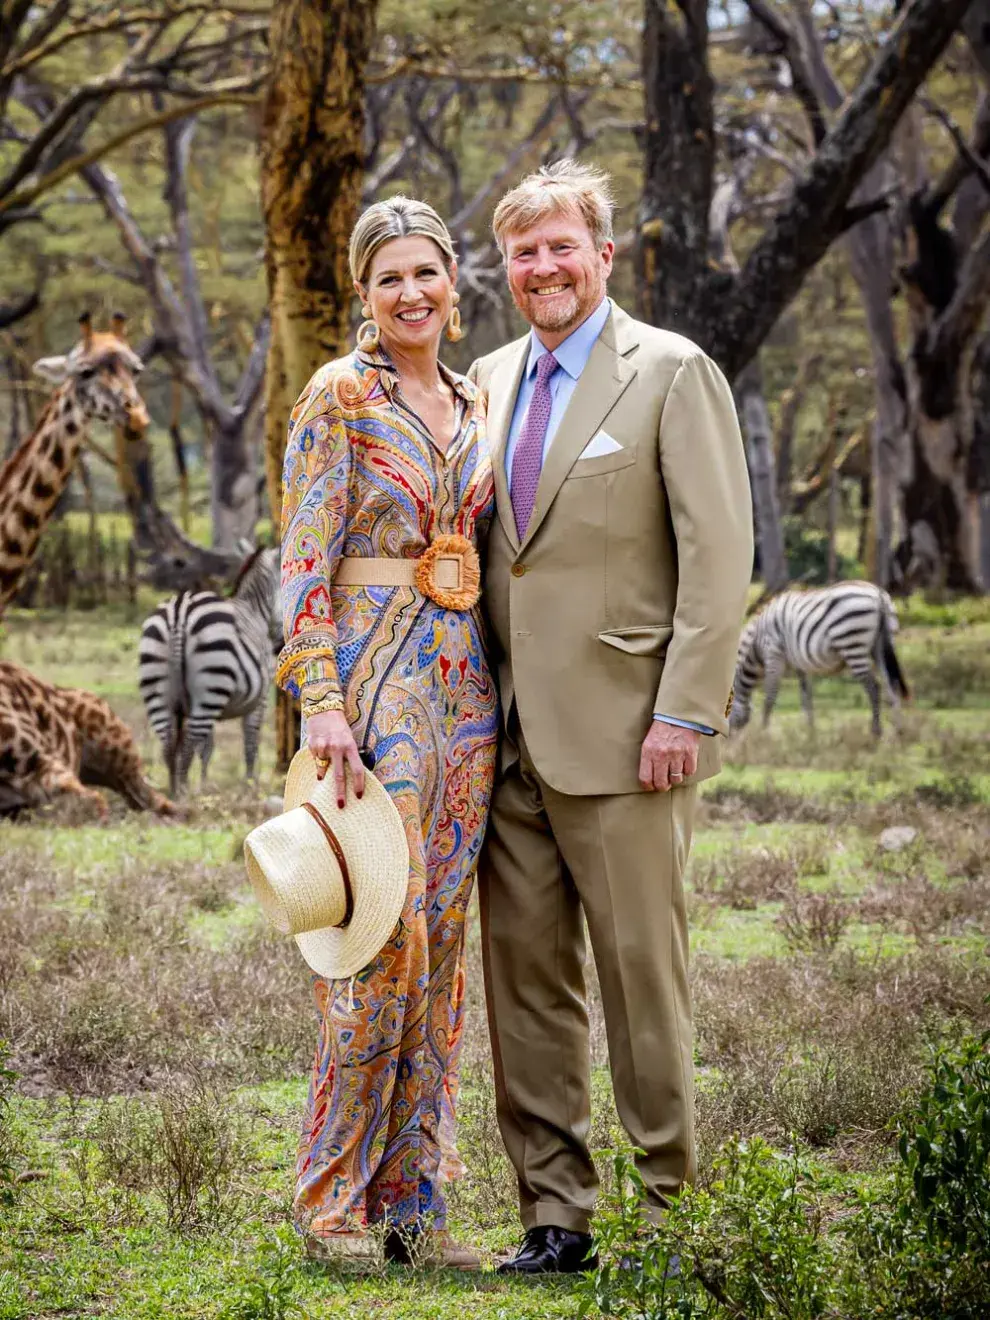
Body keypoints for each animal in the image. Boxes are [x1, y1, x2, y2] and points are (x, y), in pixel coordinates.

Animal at [137, 546, 282, 792]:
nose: (279, 644)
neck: (254, 609)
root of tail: (179, 613)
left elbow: (206, 749)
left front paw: (205, 786)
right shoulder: (260, 699)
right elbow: (251, 743)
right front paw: (250, 786)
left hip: (163, 687)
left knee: (169, 744)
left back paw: (175, 792)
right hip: (211, 690)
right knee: (187, 744)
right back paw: (184, 792)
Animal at [728, 583, 913, 739]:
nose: (729, 740)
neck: (755, 645)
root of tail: (878, 594)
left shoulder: (773, 654)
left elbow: (770, 696)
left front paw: (763, 732)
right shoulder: (799, 664)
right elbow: (806, 697)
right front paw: (810, 732)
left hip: (852, 644)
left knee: (874, 687)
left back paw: (876, 731)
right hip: (880, 646)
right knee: (892, 684)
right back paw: (898, 731)